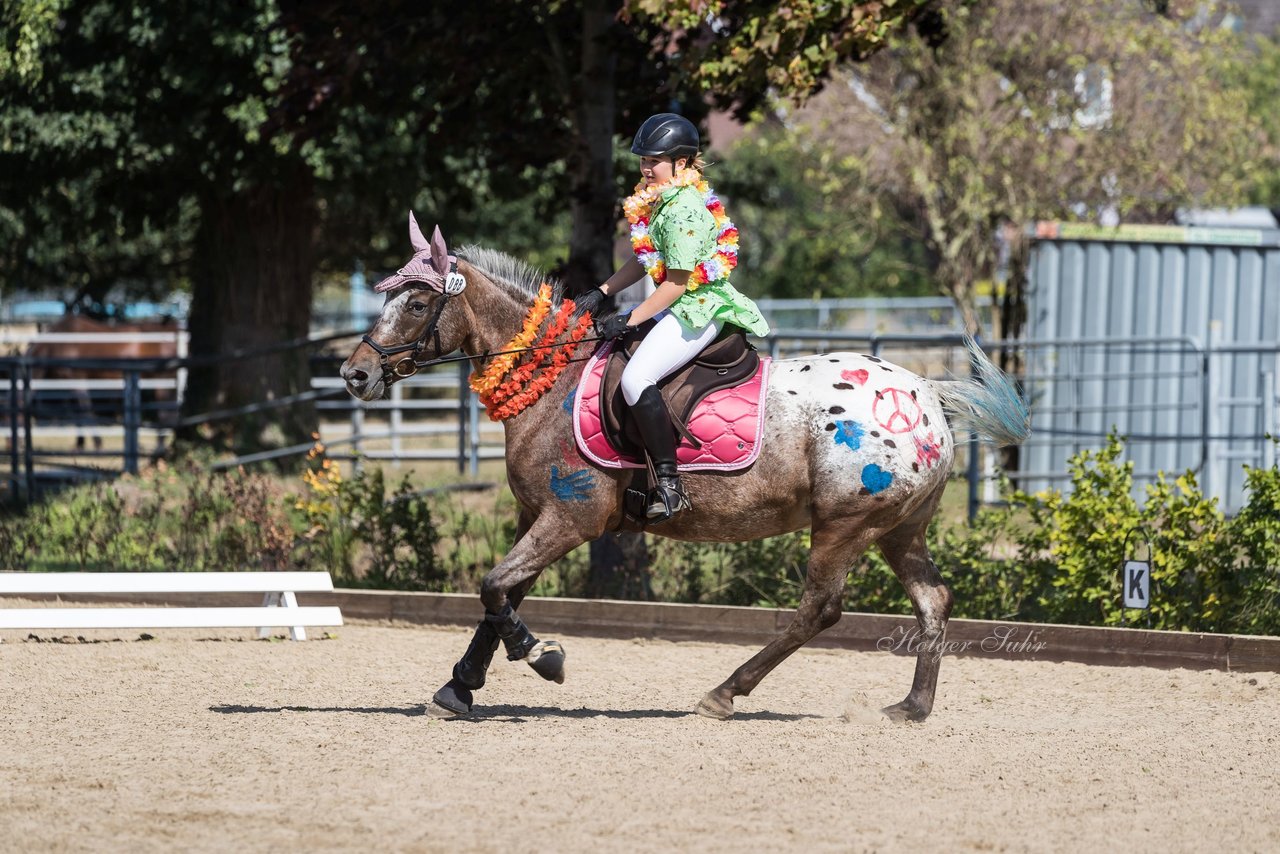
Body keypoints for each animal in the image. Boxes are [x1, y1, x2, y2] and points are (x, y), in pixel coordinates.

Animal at [340, 218, 1029, 722]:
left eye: (417, 303)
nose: (355, 374)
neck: (550, 379)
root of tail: (925, 394)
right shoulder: (535, 515)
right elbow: (499, 596)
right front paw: (459, 688)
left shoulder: (571, 518)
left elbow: (492, 588)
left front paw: (542, 658)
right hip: (898, 530)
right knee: (932, 600)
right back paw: (911, 707)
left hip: (844, 525)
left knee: (819, 609)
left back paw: (725, 693)